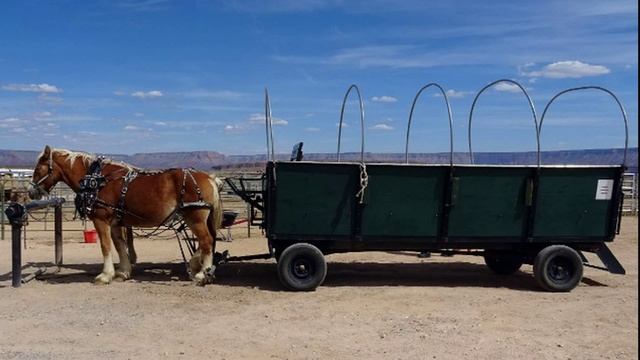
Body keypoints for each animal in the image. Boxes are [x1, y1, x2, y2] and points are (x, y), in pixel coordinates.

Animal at [26, 145, 222, 286]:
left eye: (38, 169)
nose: (30, 191)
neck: (96, 180)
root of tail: (209, 177)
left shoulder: (101, 219)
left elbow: (105, 246)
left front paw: (105, 275)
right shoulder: (115, 223)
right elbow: (120, 245)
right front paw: (123, 272)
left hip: (195, 218)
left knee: (206, 241)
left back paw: (202, 274)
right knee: (208, 241)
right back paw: (197, 266)